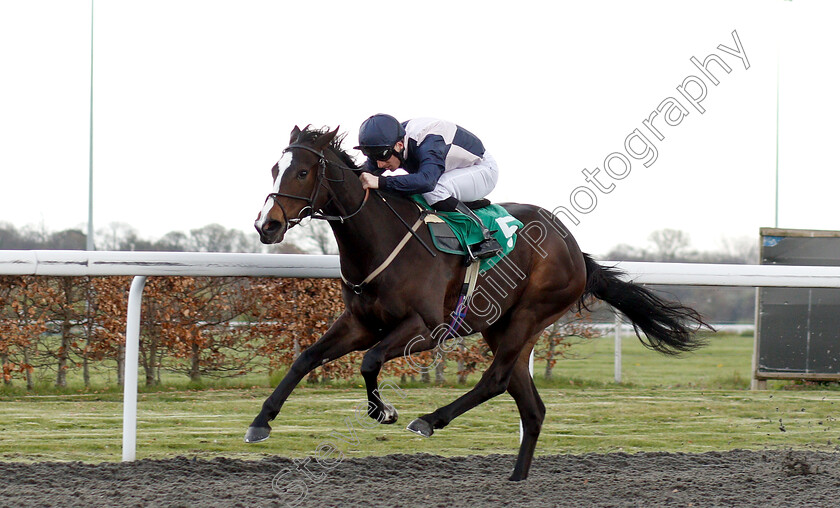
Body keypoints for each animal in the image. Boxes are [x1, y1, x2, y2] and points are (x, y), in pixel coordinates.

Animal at [248, 124, 708, 480]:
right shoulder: (360, 323)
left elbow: (370, 361)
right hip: (501, 327)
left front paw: (386, 412)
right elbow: (306, 358)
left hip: (529, 315)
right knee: (531, 406)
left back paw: (429, 420)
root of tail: (575, 250)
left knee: (496, 380)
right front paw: (260, 423)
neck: (379, 241)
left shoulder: (425, 328)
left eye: (302, 171)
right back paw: (516, 478)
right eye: (274, 170)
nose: (266, 226)